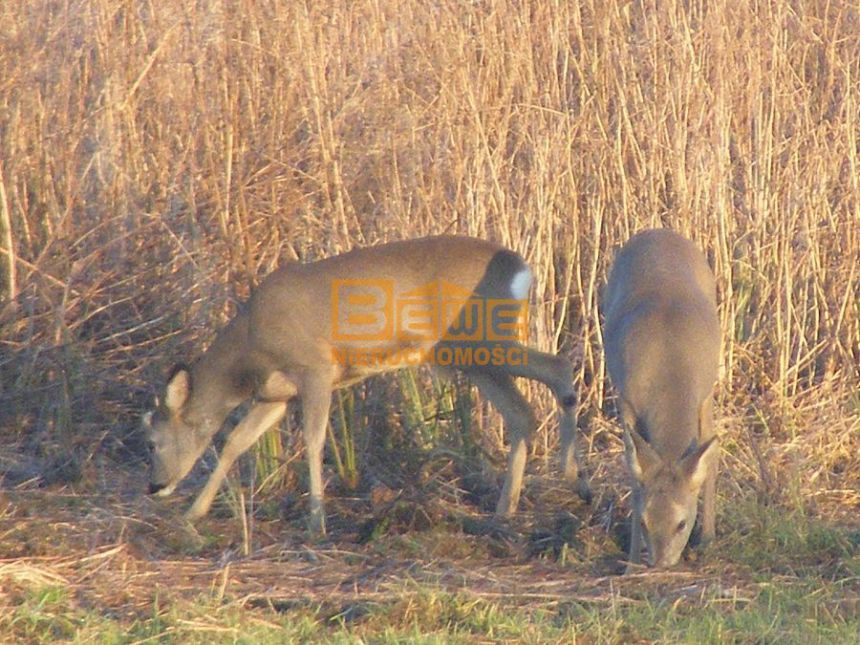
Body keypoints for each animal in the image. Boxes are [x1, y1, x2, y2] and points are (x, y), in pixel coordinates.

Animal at [146, 235, 592, 532]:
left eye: (153, 439)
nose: (154, 486)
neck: (251, 350)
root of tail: (522, 268)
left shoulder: (315, 368)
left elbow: (314, 441)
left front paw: (317, 521)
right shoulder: (276, 395)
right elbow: (236, 442)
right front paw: (194, 512)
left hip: (483, 342)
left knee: (558, 367)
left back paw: (574, 479)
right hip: (474, 360)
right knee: (522, 415)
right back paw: (506, 509)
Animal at [600, 228, 724, 568]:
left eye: (681, 524)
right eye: (644, 522)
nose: (660, 563)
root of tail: (658, 231)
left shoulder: (703, 394)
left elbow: (708, 455)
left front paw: (707, 539)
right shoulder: (626, 399)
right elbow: (632, 471)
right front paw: (630, 560)